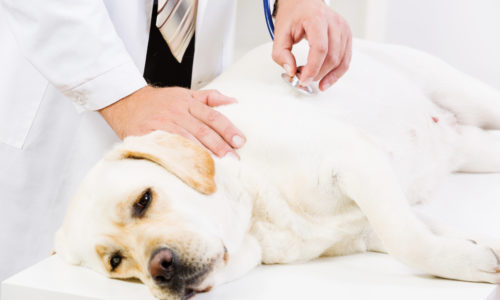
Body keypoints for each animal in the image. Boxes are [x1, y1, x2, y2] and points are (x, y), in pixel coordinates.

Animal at [53, 40, 500, 300]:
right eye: (116, 261)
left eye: (143, 200)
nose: (159, 268)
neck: (256, 210)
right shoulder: (368, 224)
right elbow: (424, 233)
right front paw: (476, 252)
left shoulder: (355, 160)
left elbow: (409, 241)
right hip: (472, 150)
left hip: (462, 90)